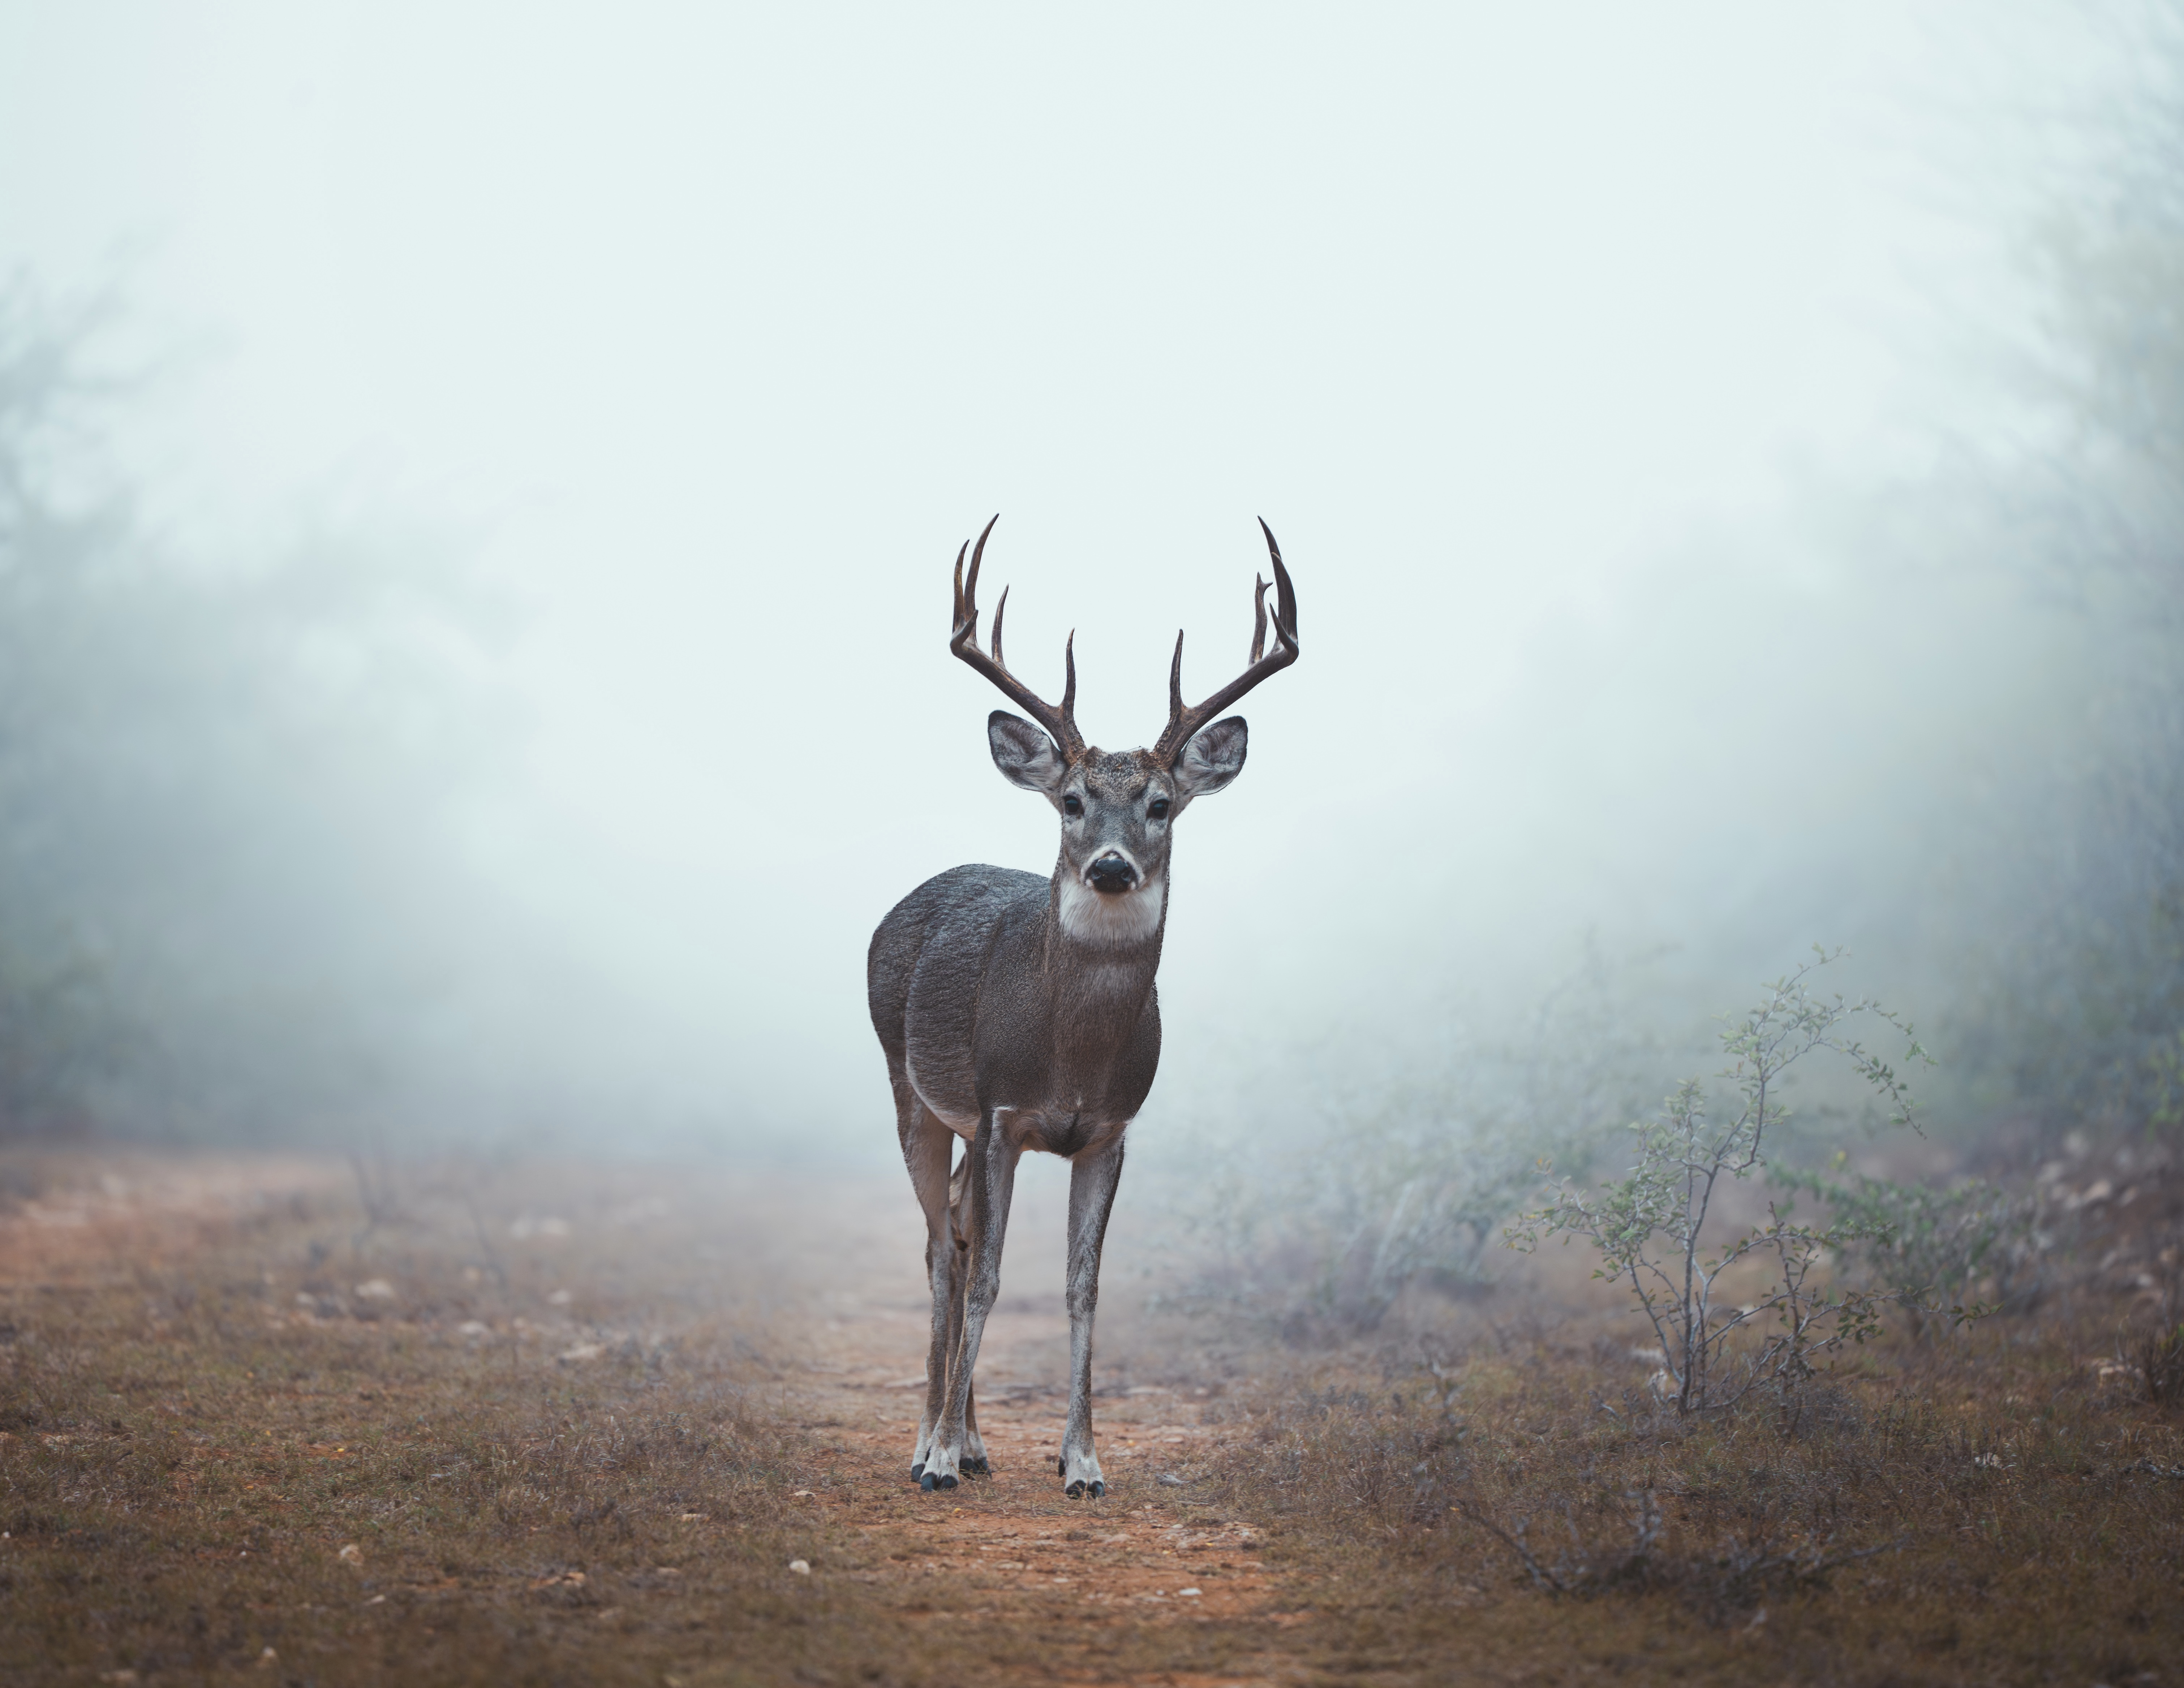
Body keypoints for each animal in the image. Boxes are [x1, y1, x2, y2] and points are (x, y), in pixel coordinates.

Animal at [866, 514, 1300, 1497]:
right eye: (1070, 799)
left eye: (1161, 803)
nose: (1109, 865)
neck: (1070, 1054)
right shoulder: (998, 1109)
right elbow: (991, 1278)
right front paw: (938, 1456)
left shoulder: (1109, 1130)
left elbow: (1081, 1285)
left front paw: (1083, 1461)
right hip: (908, 1088)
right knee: (939, 1252)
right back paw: (930, 1444)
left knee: (954, 1229)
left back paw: (976, 1441)